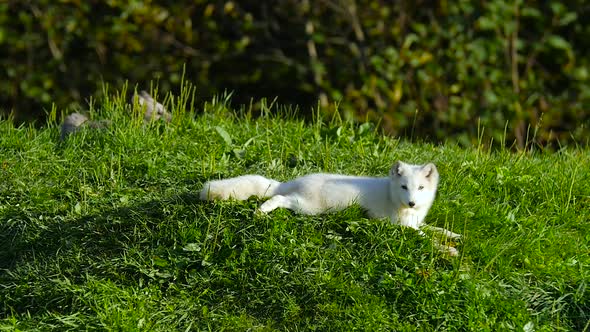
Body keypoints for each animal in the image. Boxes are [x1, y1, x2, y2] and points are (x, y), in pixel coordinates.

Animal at [201, 162, 464, 255]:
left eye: (420, 188)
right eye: (404, 187)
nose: (412, 202)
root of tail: (294, 181)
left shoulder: (416, 222)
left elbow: (436, 229)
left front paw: (455, 236)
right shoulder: (399, 227)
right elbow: (426, 238)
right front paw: (449, 250)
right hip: (307, 208)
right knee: (279, 199)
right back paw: (261, 211)